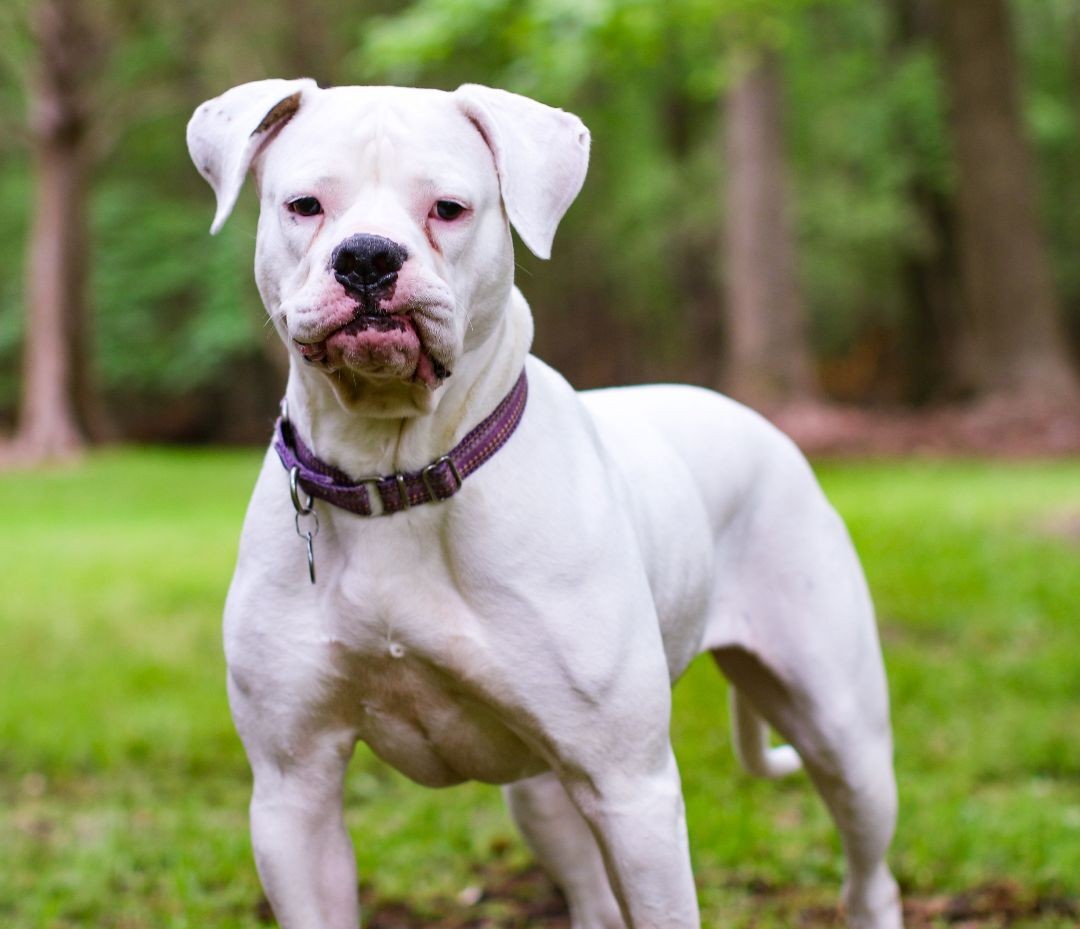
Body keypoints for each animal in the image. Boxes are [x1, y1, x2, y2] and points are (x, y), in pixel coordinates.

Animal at [187, 77, 902, 928]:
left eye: (449, 208)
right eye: (304, 205)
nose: (366, 256)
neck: (394, 473)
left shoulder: (632, 789)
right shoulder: (293, 792)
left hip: (844, 735)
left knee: (869, 869)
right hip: (542, 793)